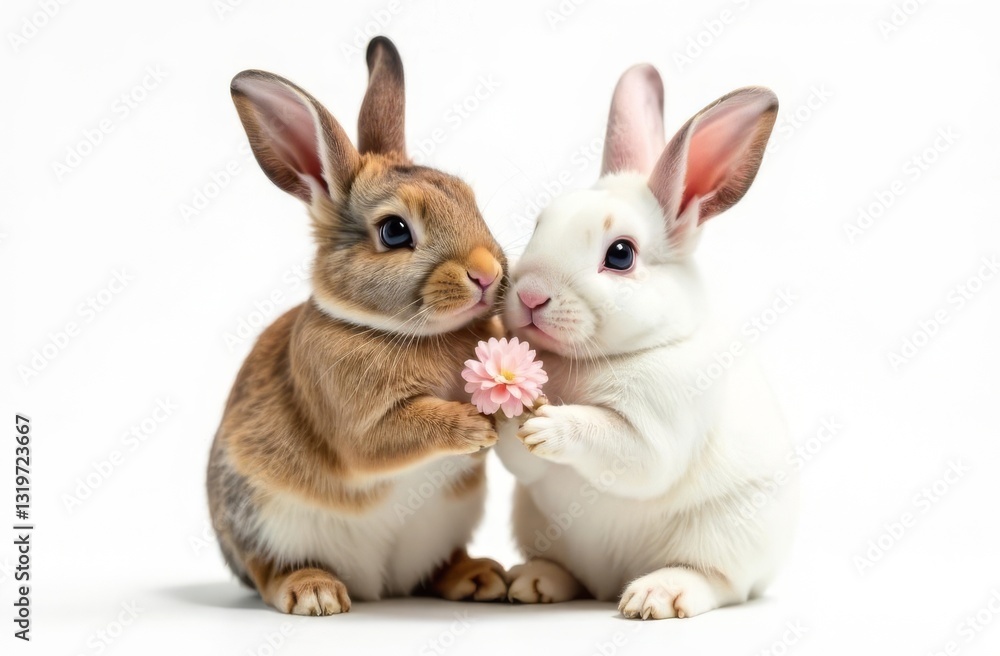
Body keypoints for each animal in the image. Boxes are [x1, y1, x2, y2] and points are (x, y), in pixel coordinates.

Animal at [206, 37, 511, 615]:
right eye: (394, 231)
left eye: (466, 196)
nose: (487, 273)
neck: (403, 331)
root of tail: (378, 584)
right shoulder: (358, 421)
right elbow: (390, 437)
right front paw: (473, 426)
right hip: (260, 515)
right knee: (266, 570)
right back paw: (315, 592)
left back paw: (480, 577)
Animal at [494, 64, 798, 619]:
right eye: (541, 221)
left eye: (620, 255)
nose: (530, 295)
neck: (594, 360)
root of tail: (607, 580)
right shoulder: (528, 477)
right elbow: (520, 459)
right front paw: (507, 413)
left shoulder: (657, 430)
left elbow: (619, 445)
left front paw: (548, 424)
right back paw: (534, 582)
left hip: (730, 536)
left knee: (717, 582)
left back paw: (656, 595)